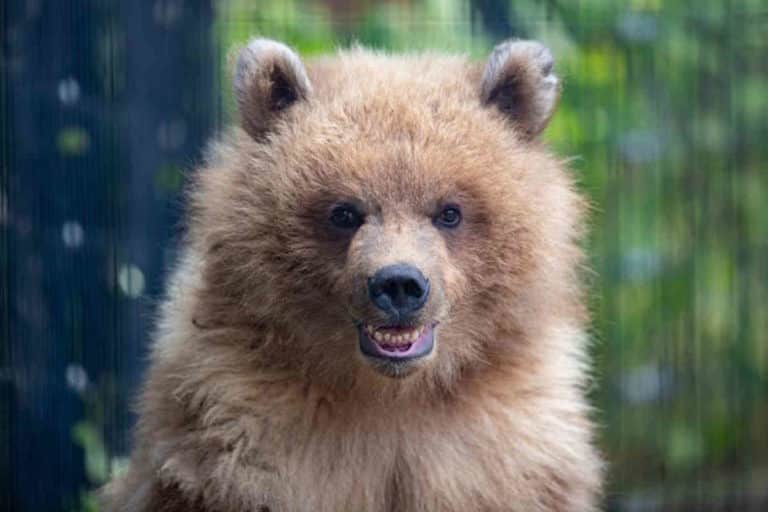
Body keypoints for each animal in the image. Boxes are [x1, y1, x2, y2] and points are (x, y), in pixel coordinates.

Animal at [103, 38, 603, 511]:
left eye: (449, 211)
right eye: (344, 212)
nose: (399, 284)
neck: (389, 395)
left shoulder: (505, 448)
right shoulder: (243, 436)